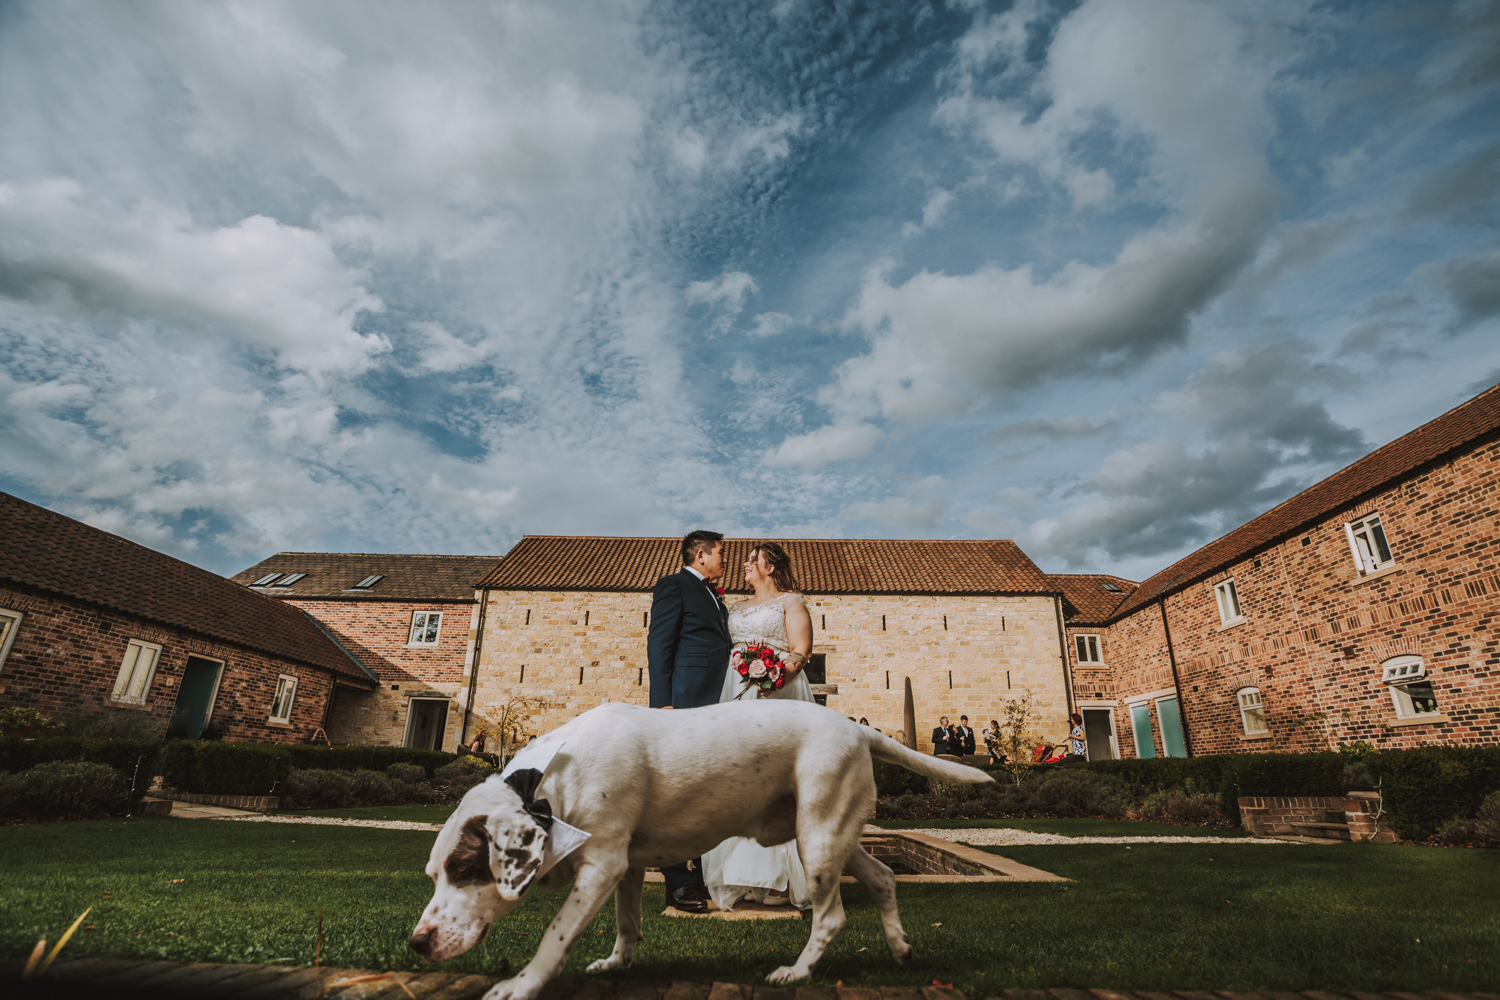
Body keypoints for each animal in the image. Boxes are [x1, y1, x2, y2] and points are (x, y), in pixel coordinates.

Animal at [411, 701, 996, 995]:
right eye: (434, 874)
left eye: (465, 868)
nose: (417, 943)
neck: (549, 784)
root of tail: (856, 729)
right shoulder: (624, 866)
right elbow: (627, 922)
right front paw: (617, 963)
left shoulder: (601, 865)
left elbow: (554, 936)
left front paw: (522, 984)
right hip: (830, 833)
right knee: (883, 877)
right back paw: (900, 949)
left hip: (819, 837)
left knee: (831, 916)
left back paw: (797, 972)